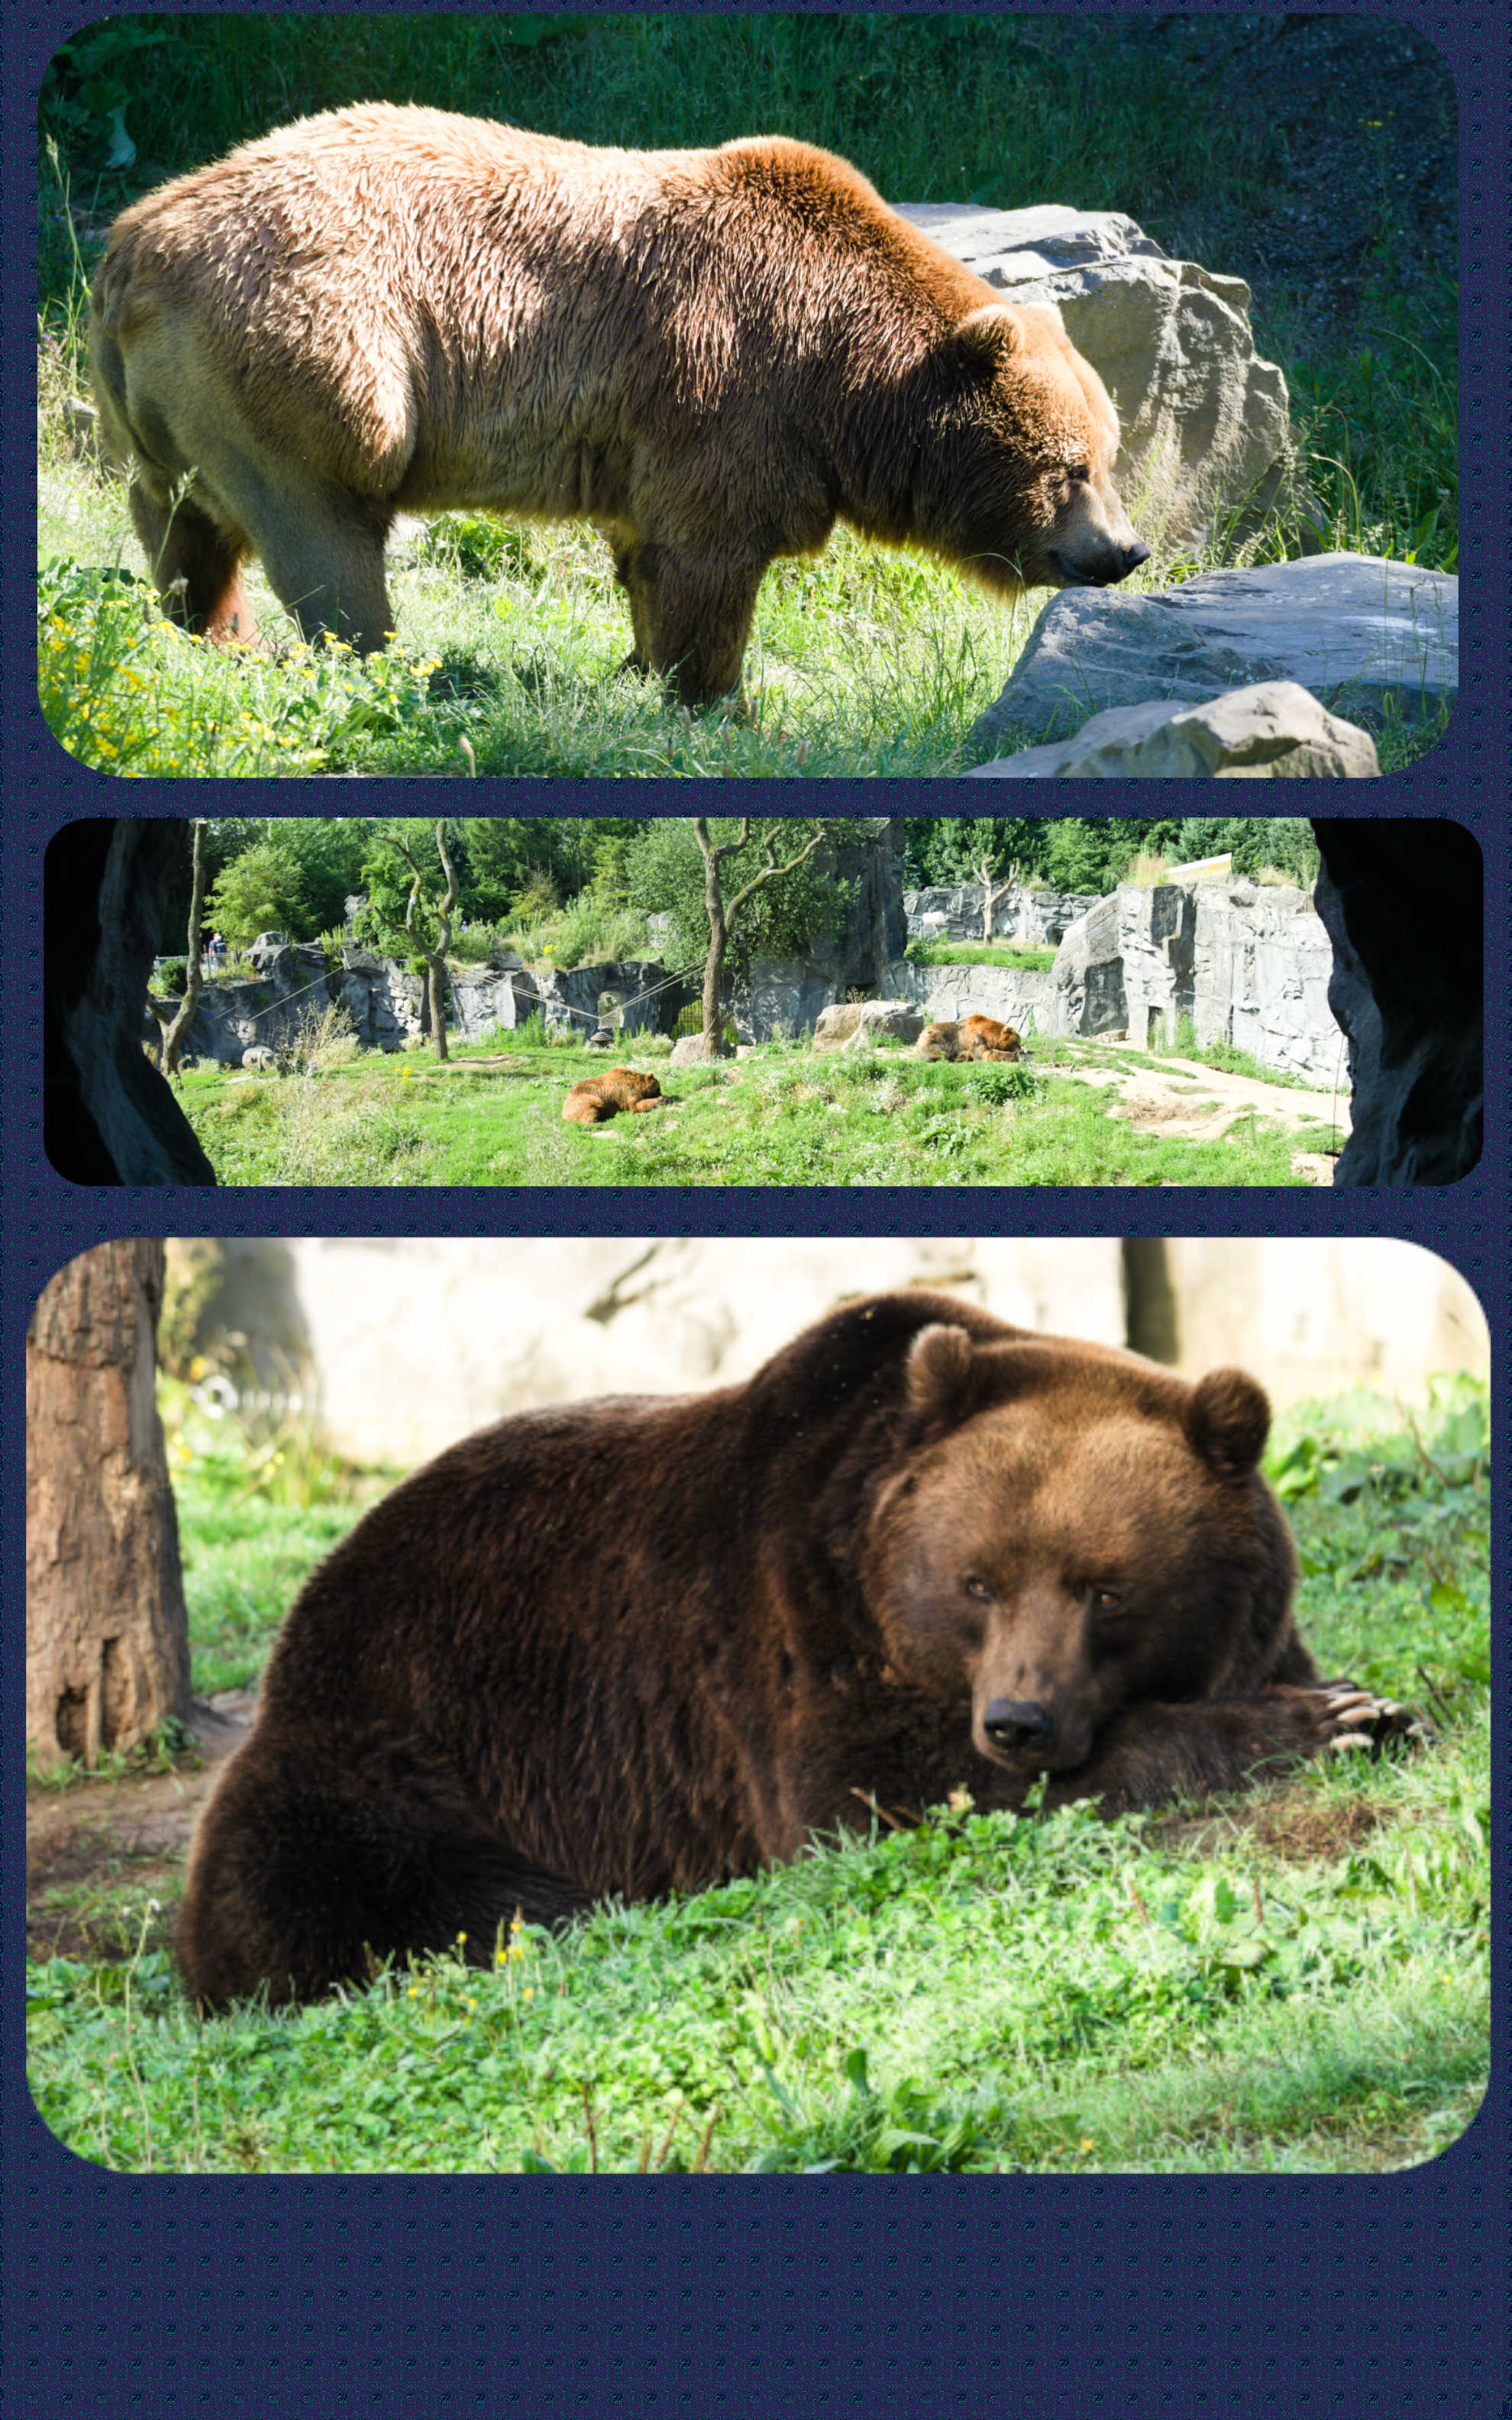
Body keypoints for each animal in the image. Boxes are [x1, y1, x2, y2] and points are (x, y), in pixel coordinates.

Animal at [88, 106, 1148, 707]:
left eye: (1108, 454)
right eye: (1070, 468)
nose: (1125, 551)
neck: (841, 374)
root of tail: (134, 238)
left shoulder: (652, 430)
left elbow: (648, 557)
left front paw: (639, 670)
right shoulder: (729, 384)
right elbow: (709, 561)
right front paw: (716, 699)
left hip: (174, 390)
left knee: (180, 508)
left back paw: (206, 626)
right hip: (319, 355)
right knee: (323, 528)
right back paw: (376, 660)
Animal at [176, 1289, 1426, 2009]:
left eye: (1107, 1590)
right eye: (977, 1582)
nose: (1019, 1721)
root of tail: (306, 1615)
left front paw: (1375, 1706)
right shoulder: (791, 1626)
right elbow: (877, 1791)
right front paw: (1322, 1720)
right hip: (401, 1748)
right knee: (353, 1890)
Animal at [562, 1067, 669, 1125]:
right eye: (658, 1088)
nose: (661, 1093)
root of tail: (564, 1113)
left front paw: (666, 1098)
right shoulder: (626, 1092)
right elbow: (637, 1105)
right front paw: (664, 1099)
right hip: (582, 1099)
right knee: (594, 1106)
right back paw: (599, 1121)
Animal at [915, 1014, 1026, 1063]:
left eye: (1019, 1041)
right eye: (1016, 1042)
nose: (1020, 1049)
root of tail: (920, 1033)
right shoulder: (975, 1039)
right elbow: (984, 1054)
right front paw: (1015, 1056)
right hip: (934, 1038)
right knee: (941, 1053)